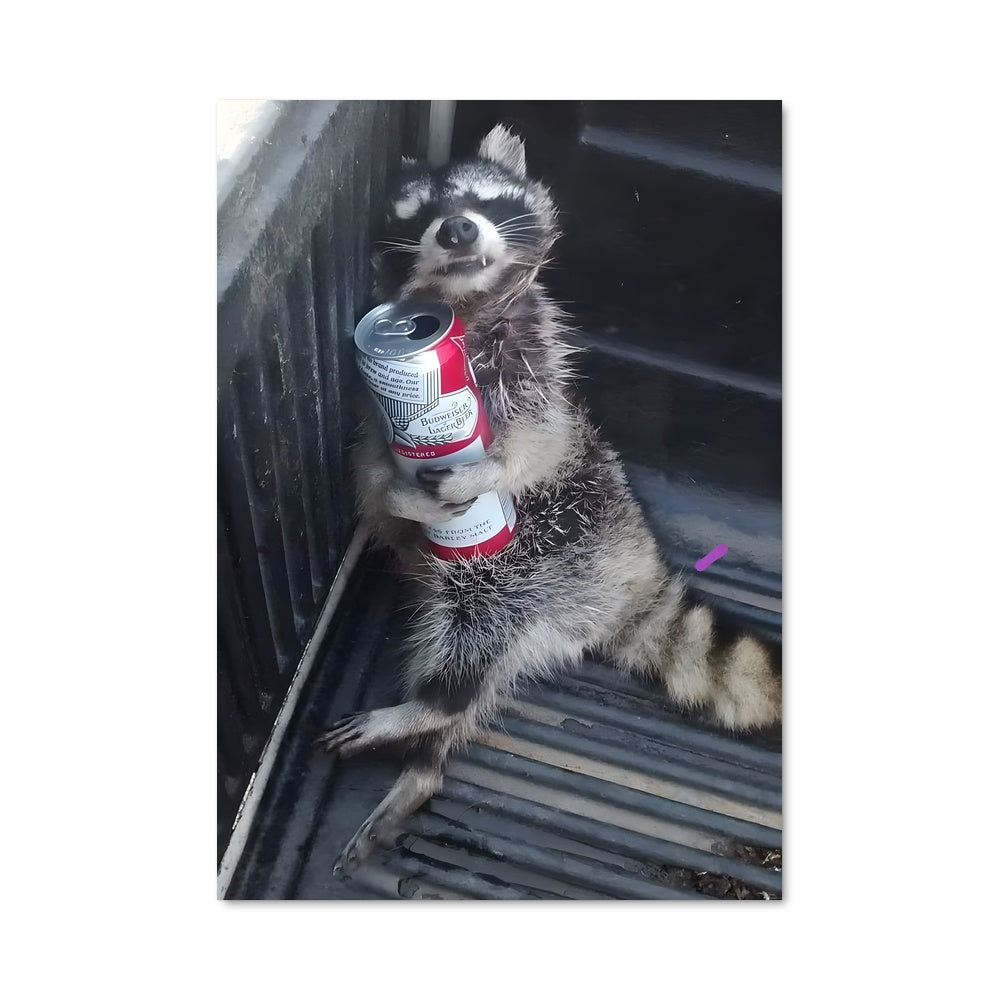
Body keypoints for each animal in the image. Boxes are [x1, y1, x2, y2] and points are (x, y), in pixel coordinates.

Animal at [316, 124, 782, 874]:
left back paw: (429, 711)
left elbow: (535, 447)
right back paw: (425, 764)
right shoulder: (376, 403)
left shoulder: (534, 372)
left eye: (482, 199)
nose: (454, 228)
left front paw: (479, 474)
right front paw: (400, 494)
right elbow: (371, 469)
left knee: (474, 634)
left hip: (549, 555)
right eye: (418, 214)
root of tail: (637, 573)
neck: (466, 310)